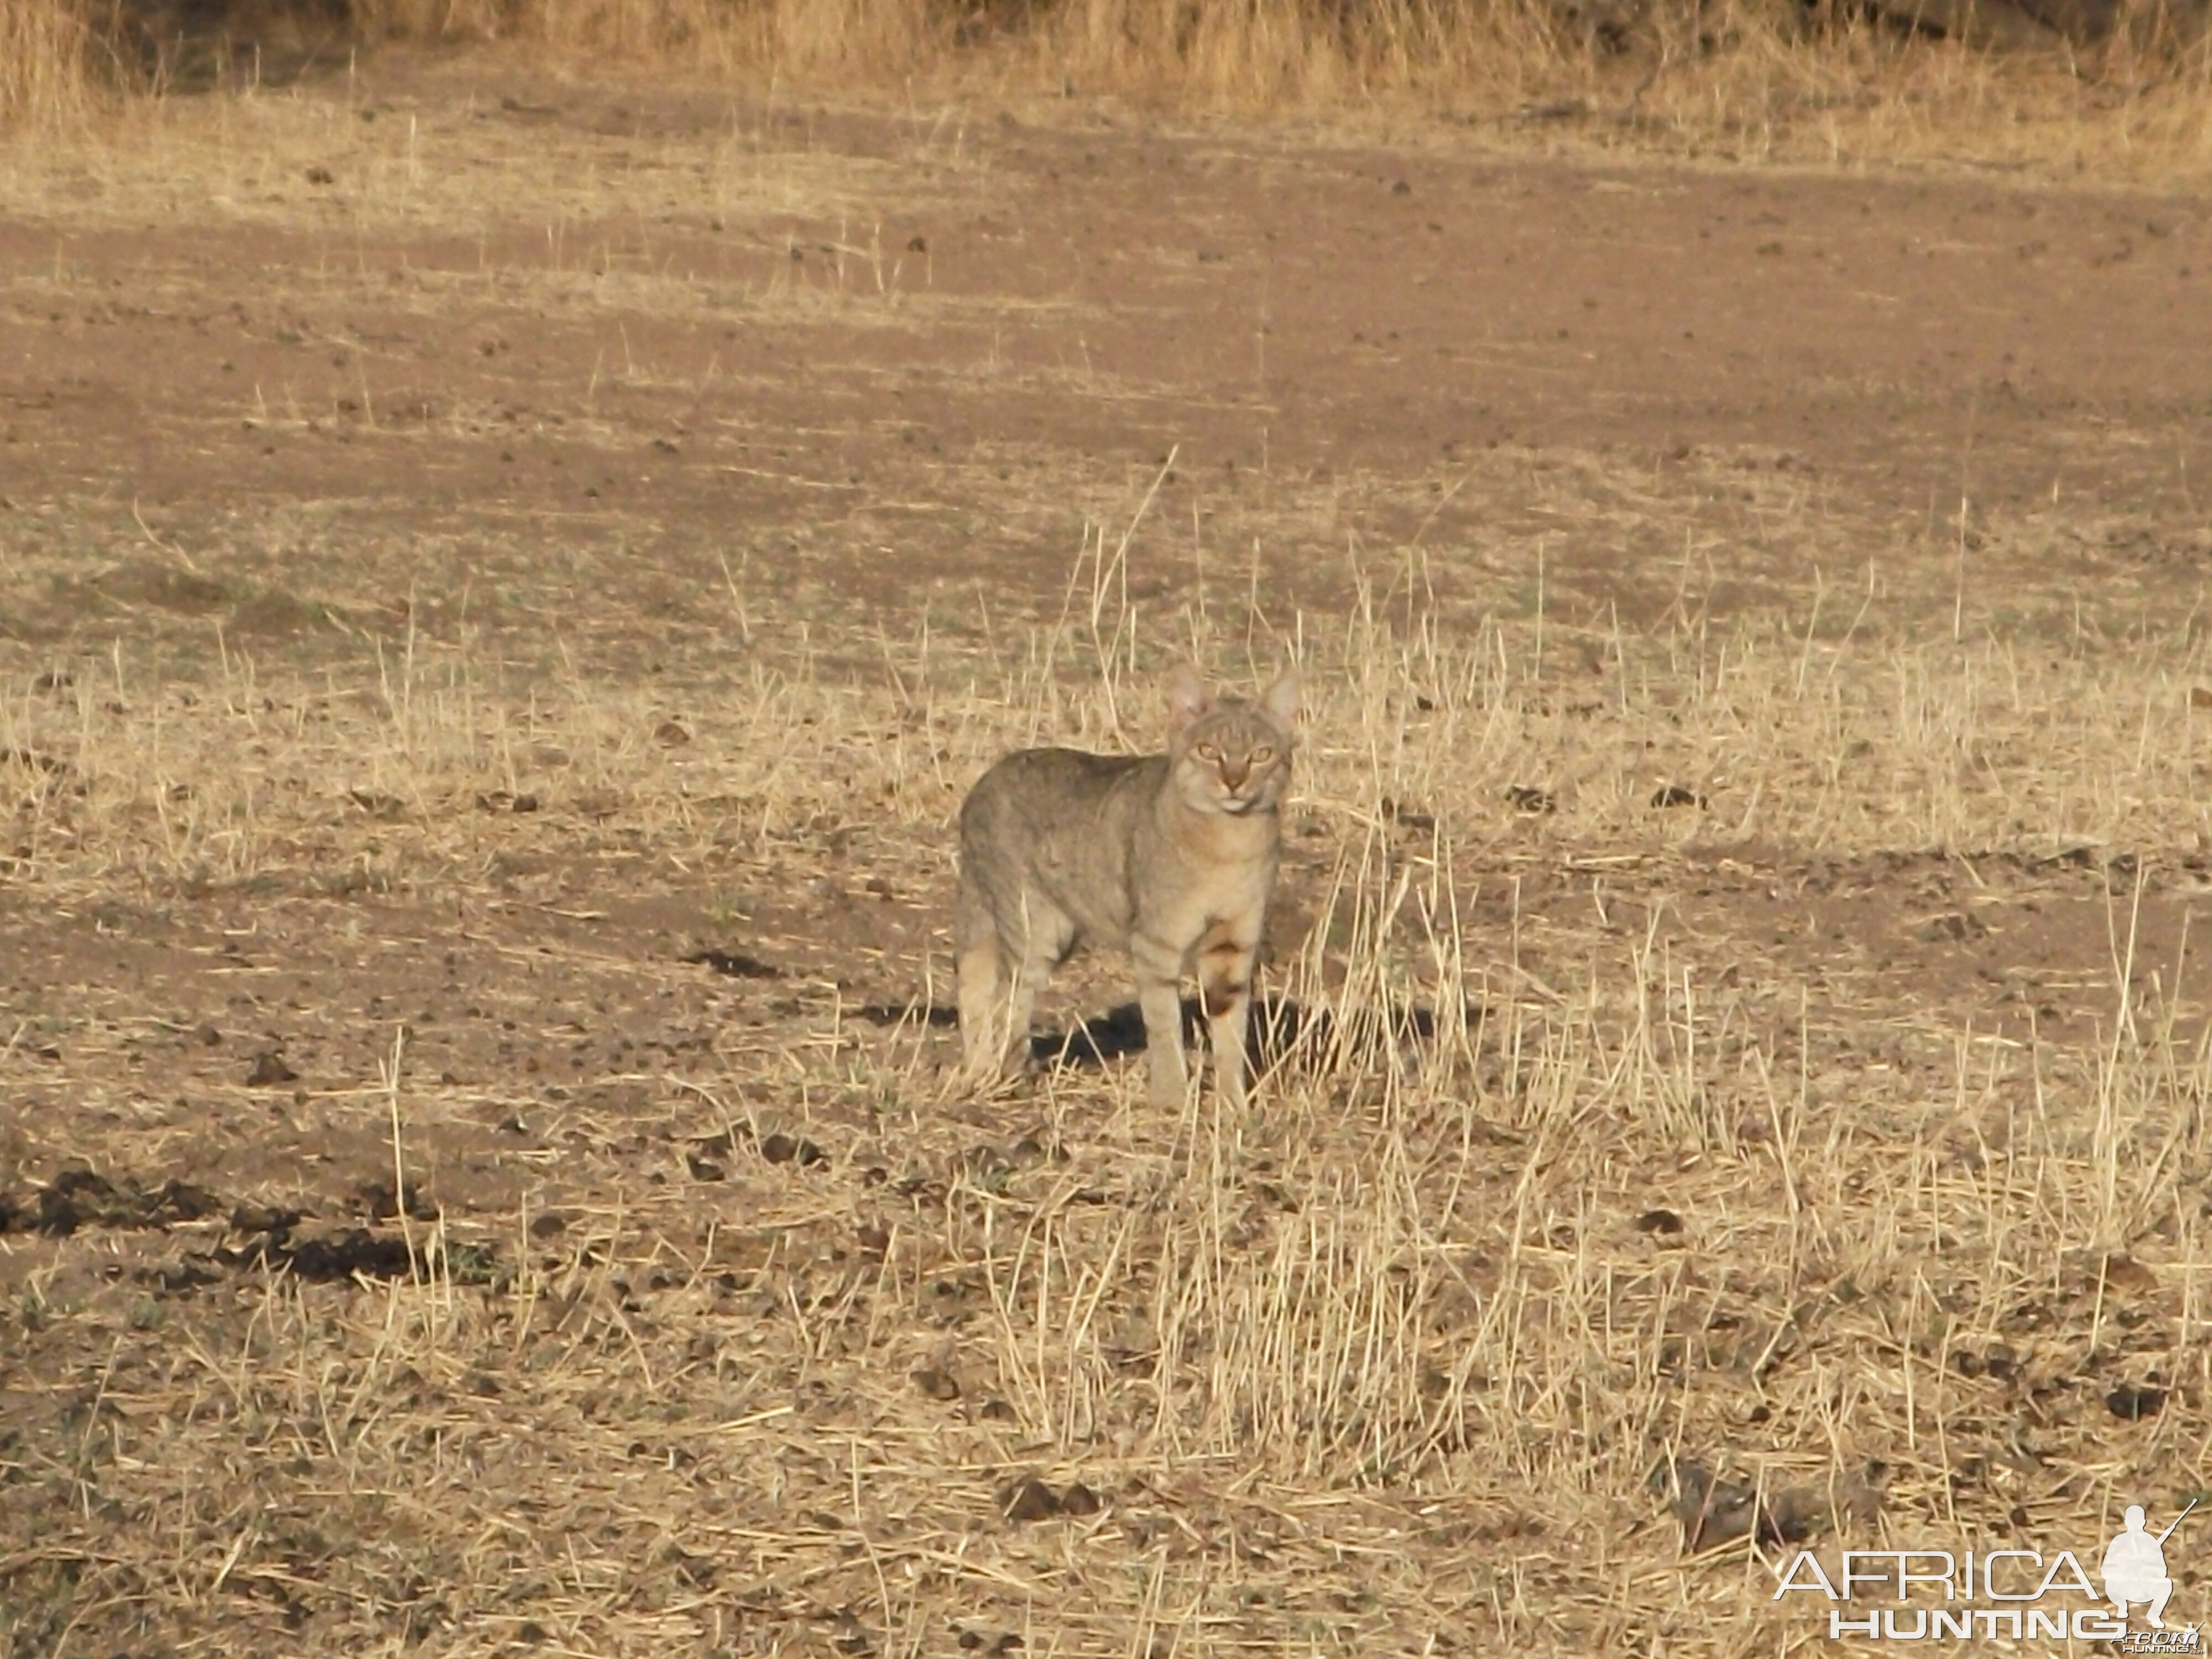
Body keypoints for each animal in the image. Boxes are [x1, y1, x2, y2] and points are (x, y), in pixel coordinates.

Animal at [951, 659, 1292, 1106]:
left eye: (1261, 755)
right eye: (1208, 751)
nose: (1234, 782)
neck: (1233, 844)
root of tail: (981, 784)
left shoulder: (1233, 947)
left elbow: (1231, 1032)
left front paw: (1233, 1104)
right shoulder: (1155, 945)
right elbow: (1164, 1024)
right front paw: (1172, 1099)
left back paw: (988, 1072)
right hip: (1034, 930)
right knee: (1002, 996)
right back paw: (1008, 1075)